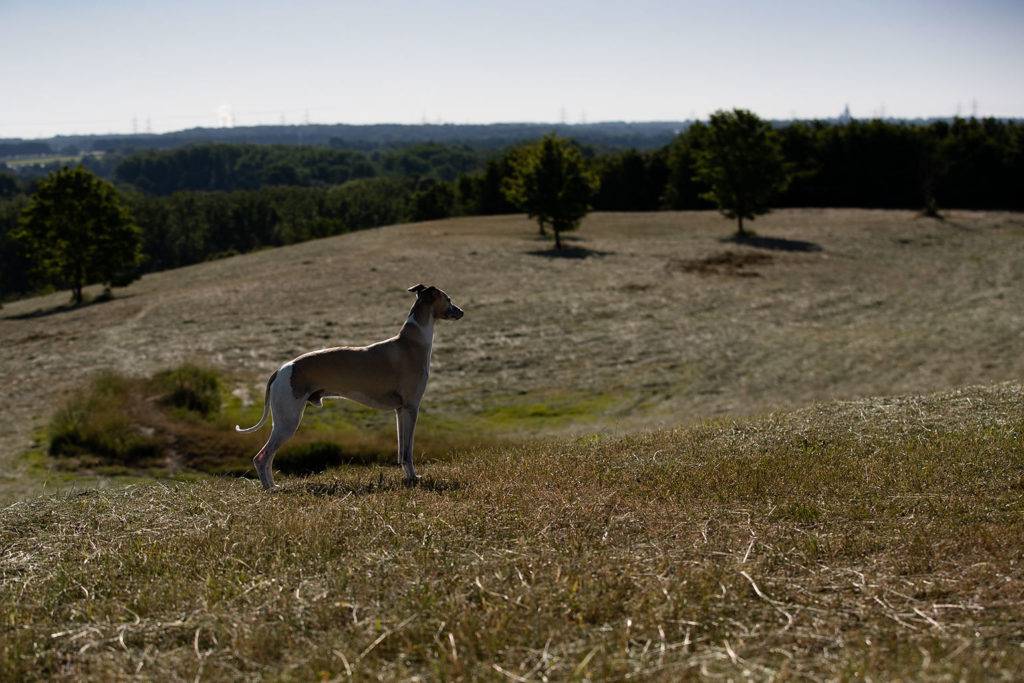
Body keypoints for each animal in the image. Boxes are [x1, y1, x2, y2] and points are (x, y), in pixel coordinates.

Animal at [235, 284, 464, 491]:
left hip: (284, 421)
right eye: (449, 299)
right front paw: (414, 478)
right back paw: (270, 489)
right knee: (261, 457)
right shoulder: (411, 407)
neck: (412, 342)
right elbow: (408, 451)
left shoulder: (400, 410)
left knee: (267, 456)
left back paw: (273, 485)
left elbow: (401, 451)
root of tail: (280, 369)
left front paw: (408, 477)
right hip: (288, 421)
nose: (462, 311)